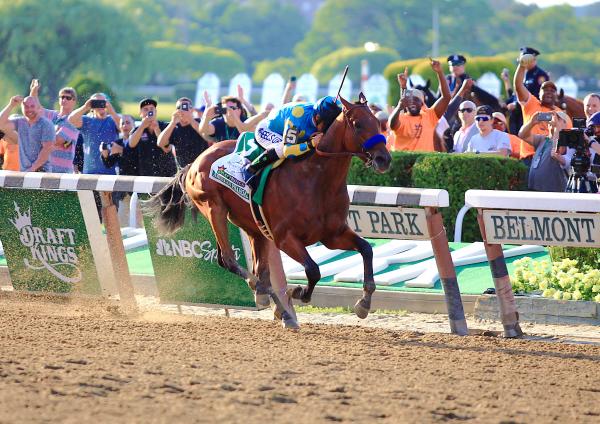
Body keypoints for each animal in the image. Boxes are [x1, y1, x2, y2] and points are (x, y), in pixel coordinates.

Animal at [144, 93, 390, 324]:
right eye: (358, 124)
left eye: (378, 123)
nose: (384, 159)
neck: (315, 181)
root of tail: (194, 162)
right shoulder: (285, 238)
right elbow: (313, 270)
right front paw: (297, 291)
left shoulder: (333, 234)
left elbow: (366, 249)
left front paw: (364, 304)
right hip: (215, 210)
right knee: (229, 260)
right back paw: (272, 300)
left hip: (252, 226)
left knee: (258, 268)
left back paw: (275, 305)